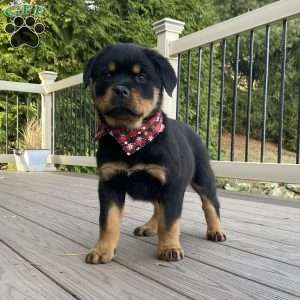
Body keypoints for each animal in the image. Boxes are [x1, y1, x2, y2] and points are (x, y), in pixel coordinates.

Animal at [83, 43, 226, 264]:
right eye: (107, 74)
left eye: (141, 77)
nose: (120, 89)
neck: (131, 135)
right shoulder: (109, 183)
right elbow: (108, 221)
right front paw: (102, 249)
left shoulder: (171, 185)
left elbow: (170, 221)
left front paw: (169, 248)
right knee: (158, 207)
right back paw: (149, 227)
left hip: (203, 177)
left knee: (210, 203)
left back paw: (216, 230)